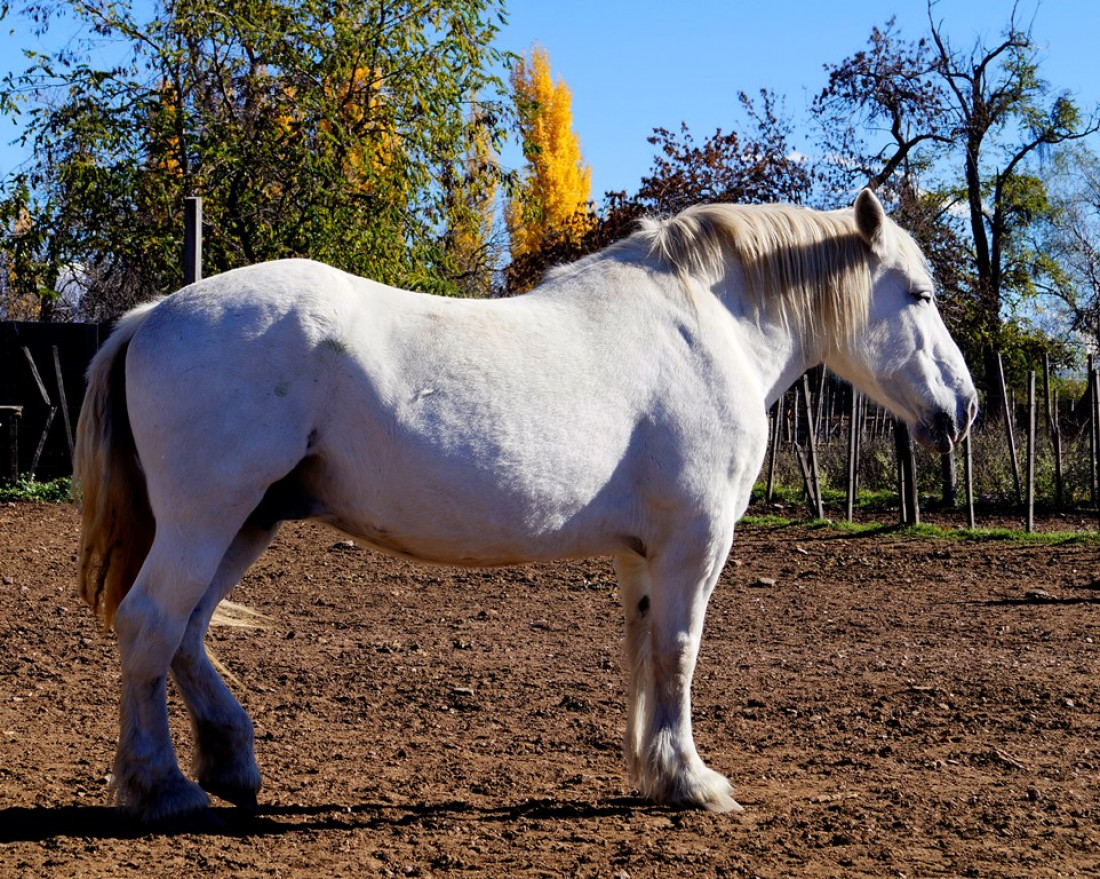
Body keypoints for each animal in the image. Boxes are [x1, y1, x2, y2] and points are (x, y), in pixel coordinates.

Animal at [73, 189, 976, 822]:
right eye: (920, 295)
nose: (962, 407)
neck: (705, 328)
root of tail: (152, 315)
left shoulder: (640, 555)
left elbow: (642, 650)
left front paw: (654, 770)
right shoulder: (693, 542)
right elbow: (678, 652)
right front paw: (693, 780)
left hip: (248, 520)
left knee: (185, 632)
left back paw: (230, 762)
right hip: (207, 518)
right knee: (151, 625)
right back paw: (162, 787)